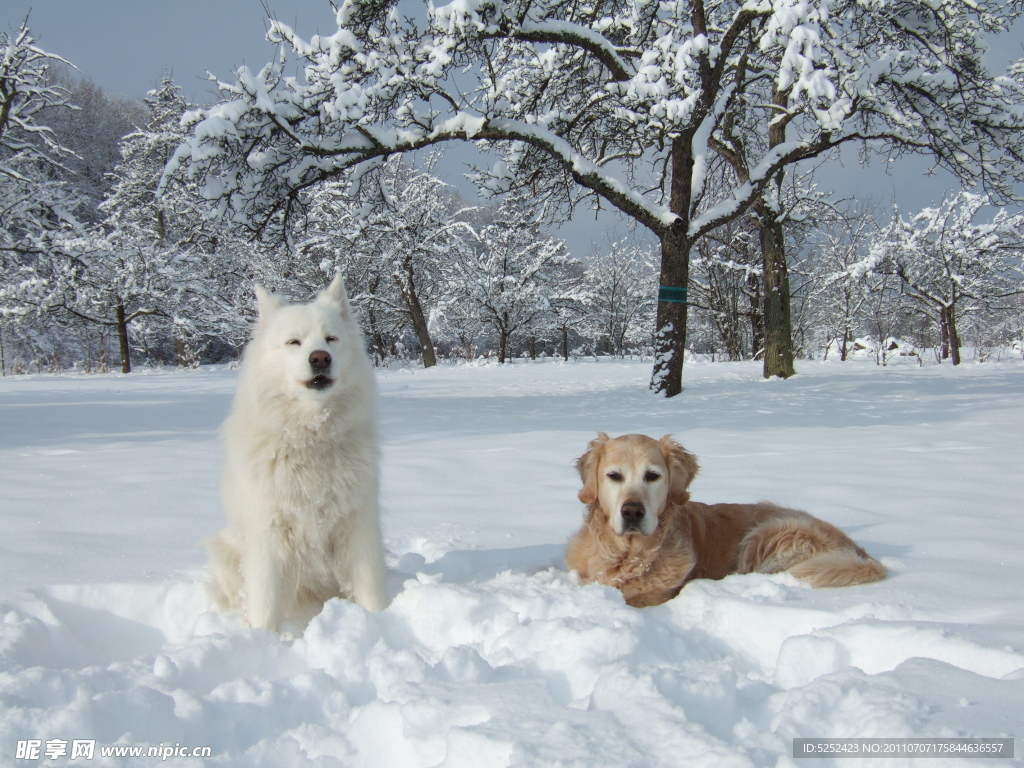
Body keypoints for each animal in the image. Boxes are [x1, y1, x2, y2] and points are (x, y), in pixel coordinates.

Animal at [203, 276, 387, 630]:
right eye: (294, 342)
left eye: (331, 339)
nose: (320, 358)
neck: (310, 440)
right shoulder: (268, 534)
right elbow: (264, 602)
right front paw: (263, 637)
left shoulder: (358, 527)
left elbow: (370, 588)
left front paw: (380, 621)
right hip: (223, 550)